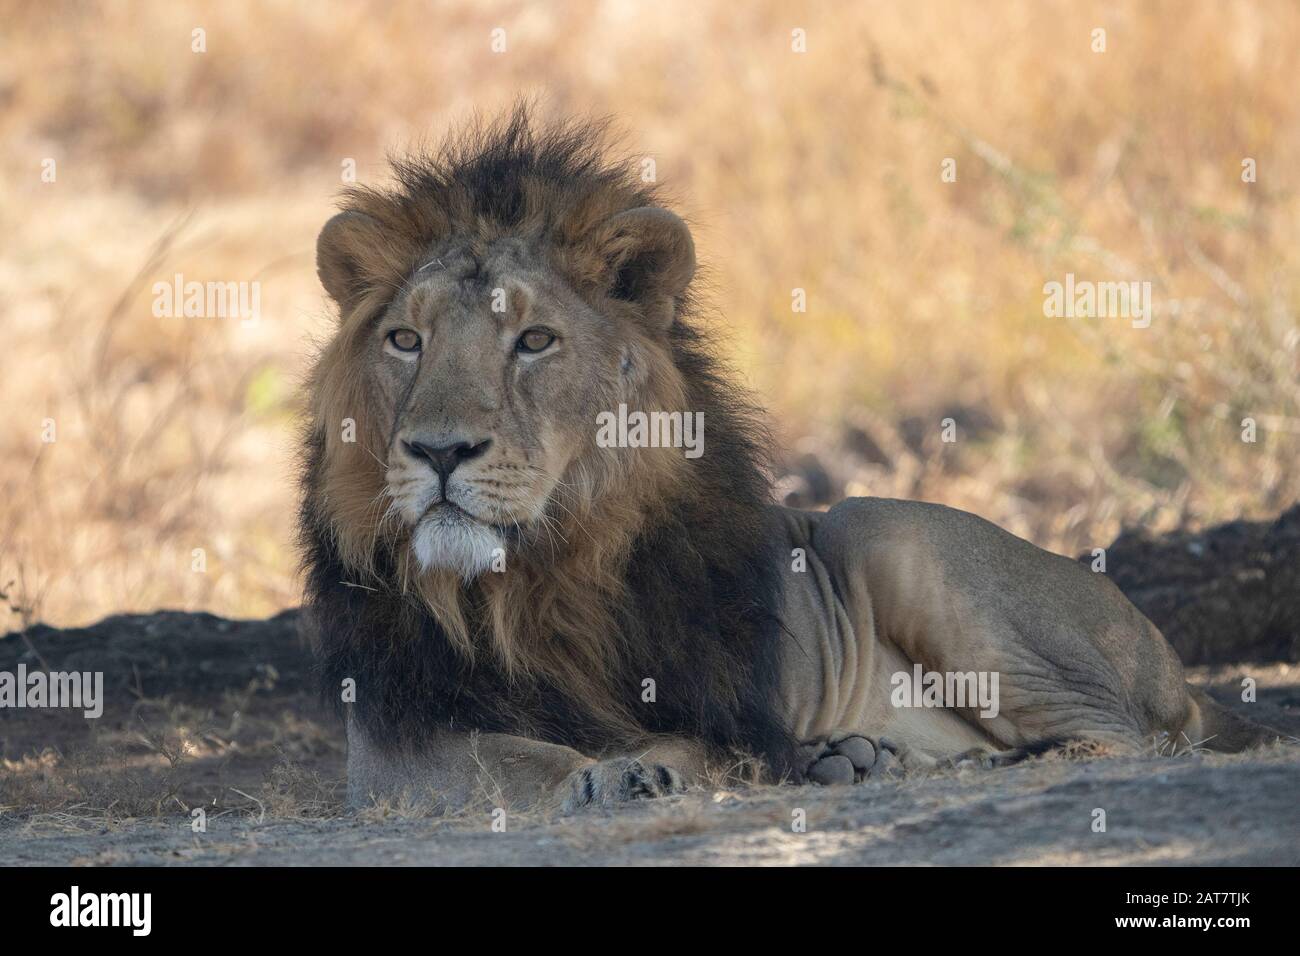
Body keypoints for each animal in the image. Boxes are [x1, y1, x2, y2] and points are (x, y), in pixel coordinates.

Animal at [300, 108, 1281, 812]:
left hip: (884, 530)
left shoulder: (726, 710)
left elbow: (678, 746)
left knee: (1120, 736)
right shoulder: (390, 739)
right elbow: (498, 758)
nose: (439, 450)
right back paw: (859, 760)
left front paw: (641, 770)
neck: (538, 574)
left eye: (534, 340)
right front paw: (598, 771)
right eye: (404, 339)